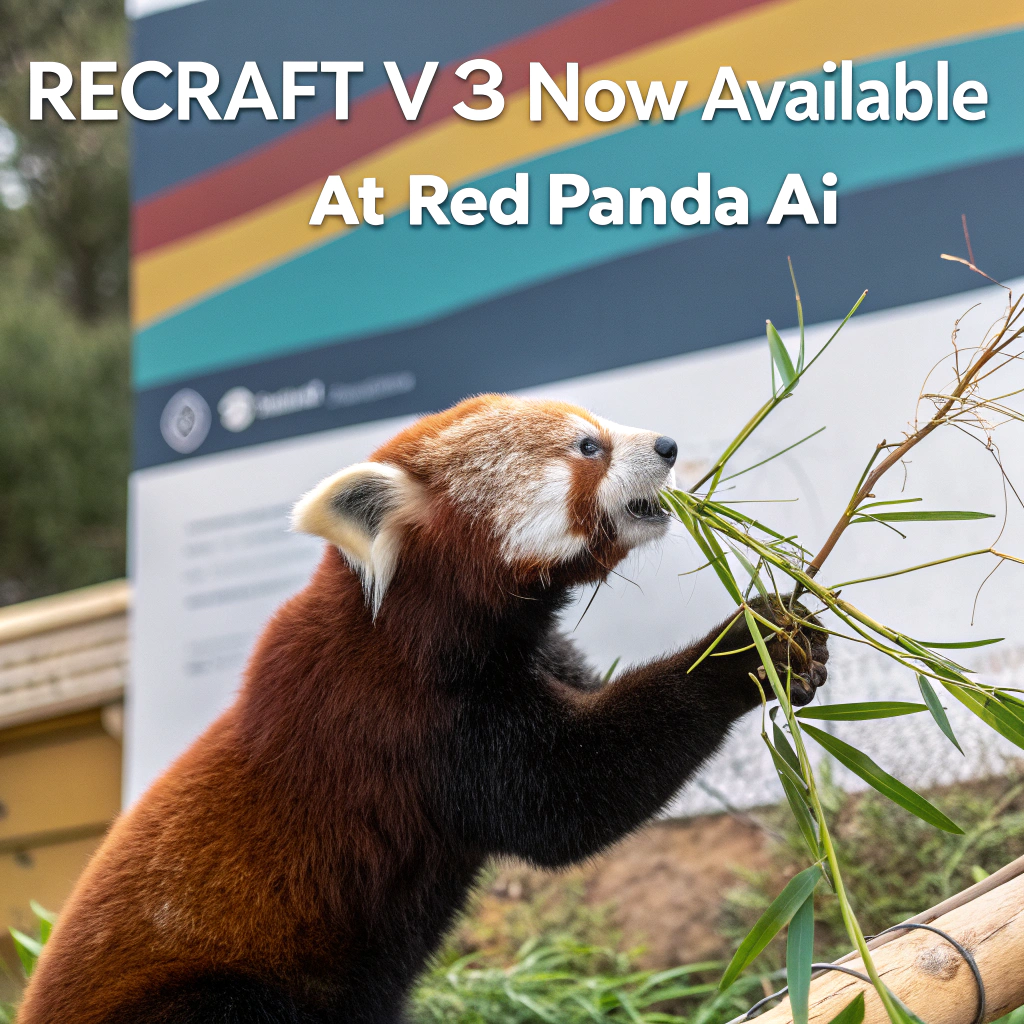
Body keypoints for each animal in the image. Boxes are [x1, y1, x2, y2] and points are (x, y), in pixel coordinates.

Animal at [19, 394, 827, 1024]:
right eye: (587, 446)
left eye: (598, 425)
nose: (666, 445)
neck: (416, 628)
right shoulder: (404, 722)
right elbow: (567, 799)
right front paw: (747, 650)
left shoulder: (530, 654)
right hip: (208, 991)